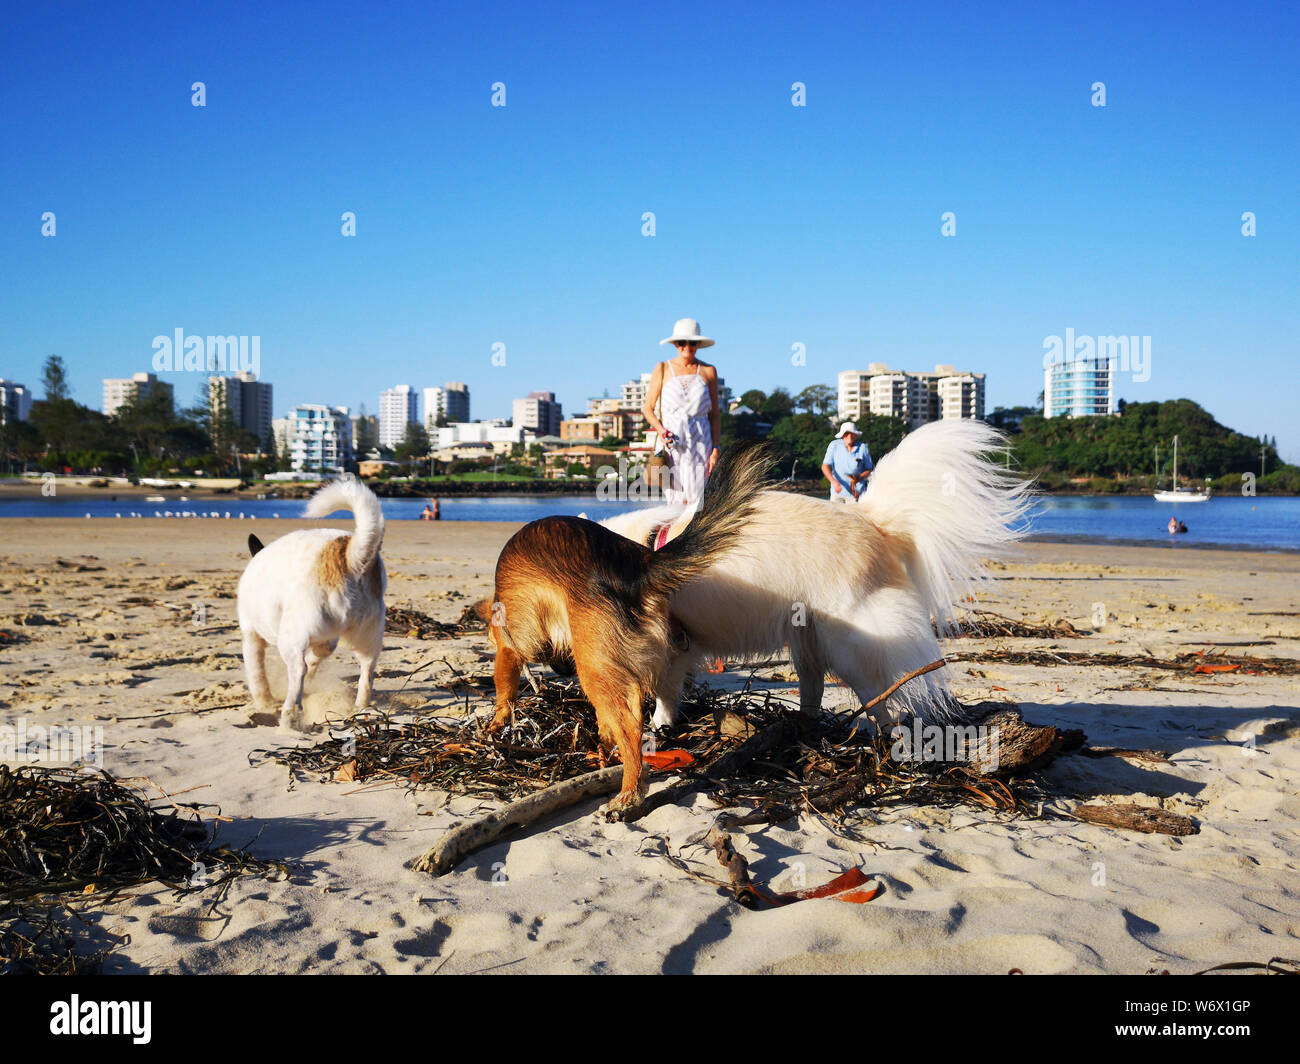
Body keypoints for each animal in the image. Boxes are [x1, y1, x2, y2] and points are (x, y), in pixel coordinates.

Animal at [236, 473, 384, 728]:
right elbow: (317, 657)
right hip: (368, 638)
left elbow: (257, 677)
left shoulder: (251, 637)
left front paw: (265, 704)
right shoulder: (327, 639)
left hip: (290, 638)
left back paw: (289, 714)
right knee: (367, 671)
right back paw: (359, 707)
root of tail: (349, 555)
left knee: (297, 670)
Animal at [488, 444, 769, 806]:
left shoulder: (508, 649)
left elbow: (504, 693)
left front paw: (496, 727)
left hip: (592, 666)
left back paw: (629, 790)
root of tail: (640, 569)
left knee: (632, 731)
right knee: (632, 714)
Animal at [600, 418, 1034, 733]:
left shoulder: (668, 648)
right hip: (807, 638)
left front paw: (659, 725)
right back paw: (804, 726)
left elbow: (663, 693)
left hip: (849, 645)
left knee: (879, 699)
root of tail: (871, 520)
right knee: (816, 688)